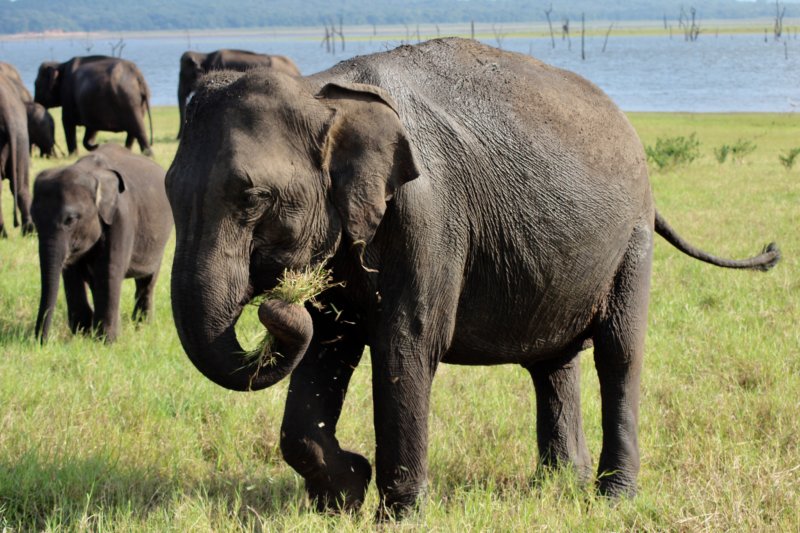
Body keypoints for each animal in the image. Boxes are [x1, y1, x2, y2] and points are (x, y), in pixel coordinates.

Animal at [32, 143, 173, 343]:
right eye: (34, 220)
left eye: (70, 220)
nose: (40, 342)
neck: (91, 172)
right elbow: (71, 274)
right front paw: (81, 335)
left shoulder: (121, 219)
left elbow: (108, 271)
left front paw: (106, 342)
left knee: (147, 280)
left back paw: (142, 326)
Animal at [165, 38, 780, 518]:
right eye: (168, 190)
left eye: (252, 197)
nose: (275, 304)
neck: (321, 91)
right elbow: (328, 345)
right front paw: (343, 494)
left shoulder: (428, 217)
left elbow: (407, 344)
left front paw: (398, 514)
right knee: (553, 365)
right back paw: (559, 486)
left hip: (632, 241)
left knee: (619, 356)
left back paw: (613, 500)